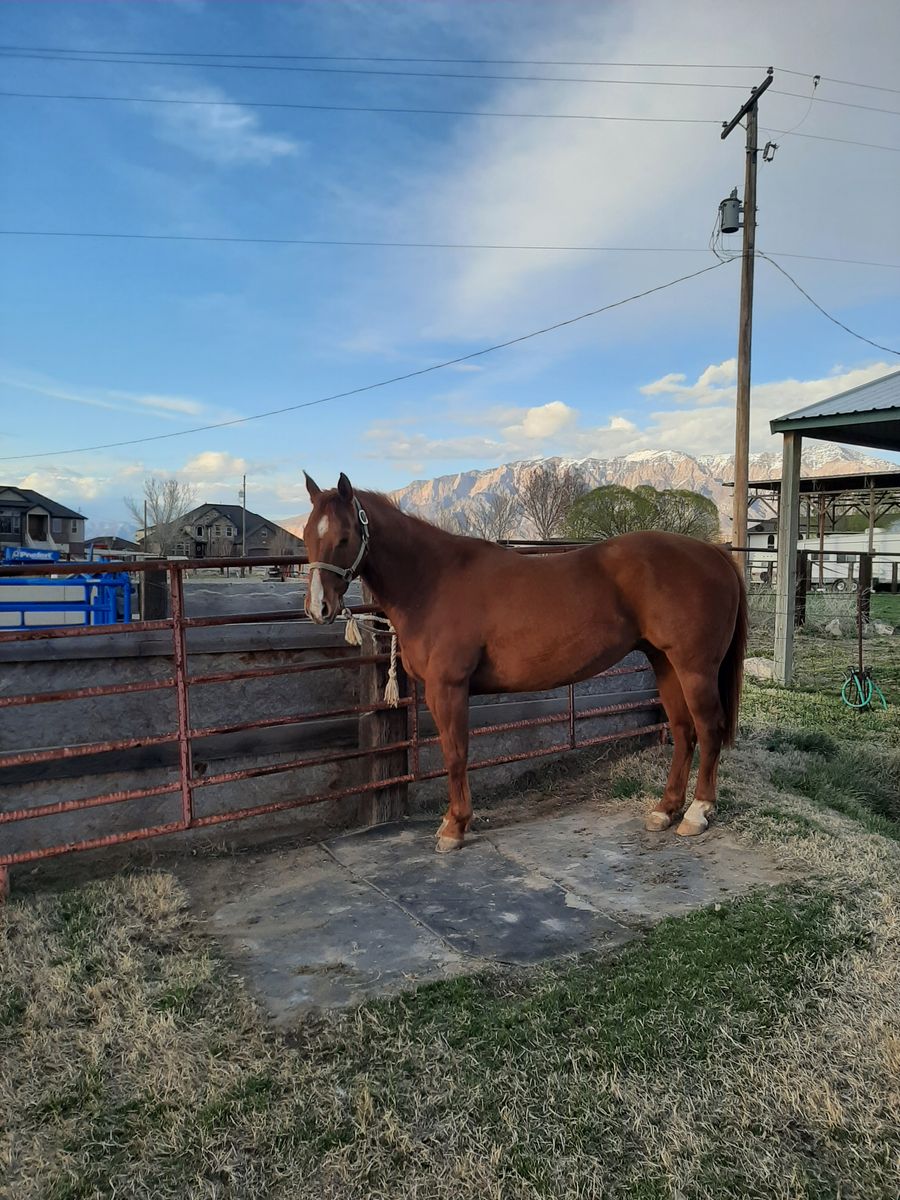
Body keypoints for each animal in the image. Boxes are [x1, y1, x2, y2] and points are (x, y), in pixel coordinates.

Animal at [302, 473, 747, 853]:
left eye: (344, 537)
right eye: (307, 537)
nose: (318, 608)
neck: (433, 581)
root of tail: (713, 553)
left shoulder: (448, 687)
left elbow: (455, 752)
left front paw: (454, 827)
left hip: (695, 668)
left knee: (708, 729)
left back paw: (697, 813)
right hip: (665, 663)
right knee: (684, 732)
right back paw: (665, 810)